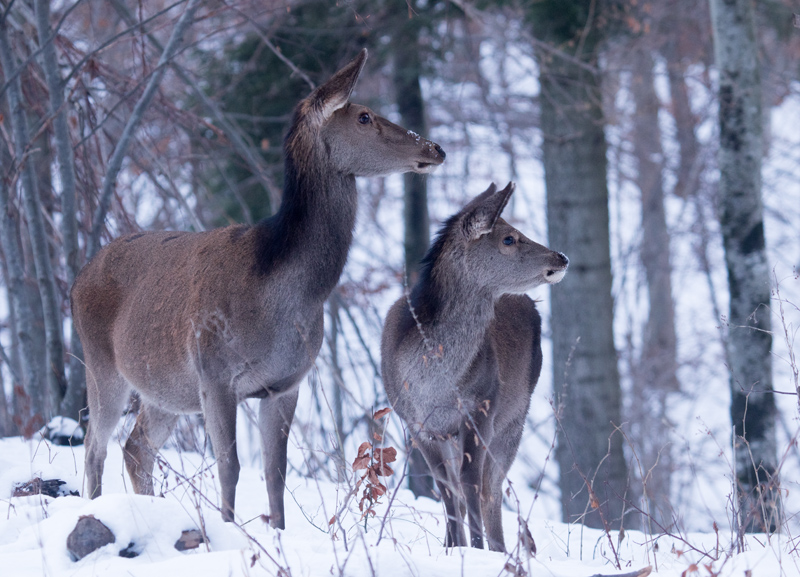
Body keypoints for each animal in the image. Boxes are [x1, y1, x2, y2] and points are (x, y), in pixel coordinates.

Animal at [72, 49, 444, 528]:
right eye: (363, 116)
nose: (434, 148)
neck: (281, 291)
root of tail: (78, 277)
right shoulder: (214, 371)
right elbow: (229, 466)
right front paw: (229, 530)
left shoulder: (286, 383)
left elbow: (275, 472)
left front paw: (276, 531)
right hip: (102, 364)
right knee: (93, 445)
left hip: (165, 388)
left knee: (136, 449)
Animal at [382, 183, 564, 548]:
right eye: (508, 238)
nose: (561, 258)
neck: (432, 386)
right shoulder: (416, 423)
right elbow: (447, 490)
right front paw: (455, 547)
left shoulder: (482, 408)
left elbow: (471, 485)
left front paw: (477, 549)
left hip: (514, 417)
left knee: (491, 490)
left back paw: (503, 547)